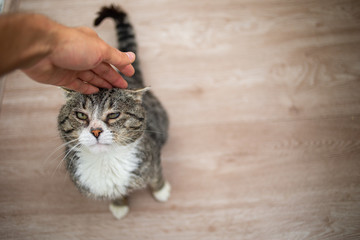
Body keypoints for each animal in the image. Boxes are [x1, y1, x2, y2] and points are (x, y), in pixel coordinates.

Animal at [57, 5, 171, 219]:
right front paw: (119, 204)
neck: (106, 161)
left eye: (113, 115)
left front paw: (160, 191)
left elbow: (156, 176)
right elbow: (115, 194)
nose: (95, 131)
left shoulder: (152, 157)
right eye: (81, 115)